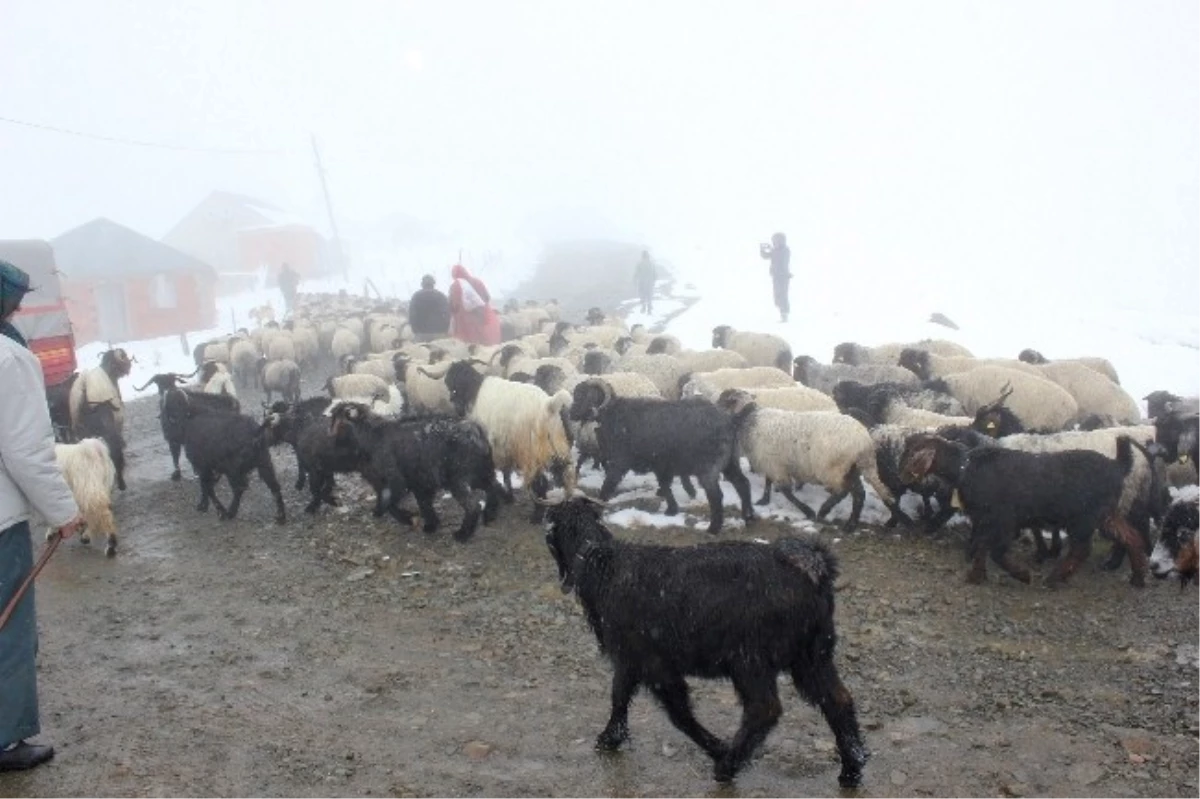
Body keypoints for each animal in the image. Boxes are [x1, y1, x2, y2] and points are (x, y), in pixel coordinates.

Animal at [328, 400, 501, 537]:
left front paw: (409, 519)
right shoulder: (419, 482)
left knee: (473, 505)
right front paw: (431, 525)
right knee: (494, 487)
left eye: (340, 424)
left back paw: (463, 534)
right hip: (481, 473)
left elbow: (391, 504)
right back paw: (490, 515)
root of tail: (476, 432)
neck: (371, 437)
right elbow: (423, 504)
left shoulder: (397, 480)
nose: (331, 439)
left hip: (458, 478)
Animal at [568, 379, 753, 532]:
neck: (612, 414)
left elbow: (607, 486)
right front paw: (672, 510)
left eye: (585, 395)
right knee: (742, 484)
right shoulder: (661, 464)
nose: (571, 414)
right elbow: (664, 486)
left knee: (716, 495)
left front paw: (597, 509)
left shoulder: (620, 462)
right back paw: (749, 517)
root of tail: (731, 420)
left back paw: (714, 528)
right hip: (730, 462)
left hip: (708, 467)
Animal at [902, 431, 1142, 583]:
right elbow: (981, 547)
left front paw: (1021, 574)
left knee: (1082, 550)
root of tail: (1118, 465)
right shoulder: (986, 521)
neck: (965, 467)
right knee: (1131, 537)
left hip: (1084, 518)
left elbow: (996, 552)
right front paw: (976, 576)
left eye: (910, 451)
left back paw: (1055, 578)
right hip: (1107, 514)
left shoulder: (1004, 520)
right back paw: (1138, 578)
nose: (901, 474)